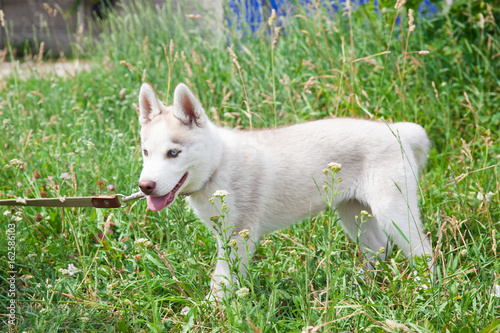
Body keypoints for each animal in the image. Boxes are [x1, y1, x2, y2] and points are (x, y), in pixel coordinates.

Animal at [137, 81, 434, 296]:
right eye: (146, 152)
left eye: (173, 153)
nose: (145, 186)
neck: (218, 165)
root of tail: (397, 130)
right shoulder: (225, 237)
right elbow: (222, 278)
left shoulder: (239, 236)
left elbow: (221, 280)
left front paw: (214, 312)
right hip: (352, 212)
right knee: (378, 247)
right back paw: (358, 286)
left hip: (393, 212)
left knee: (423, 251)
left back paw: (426, 290)